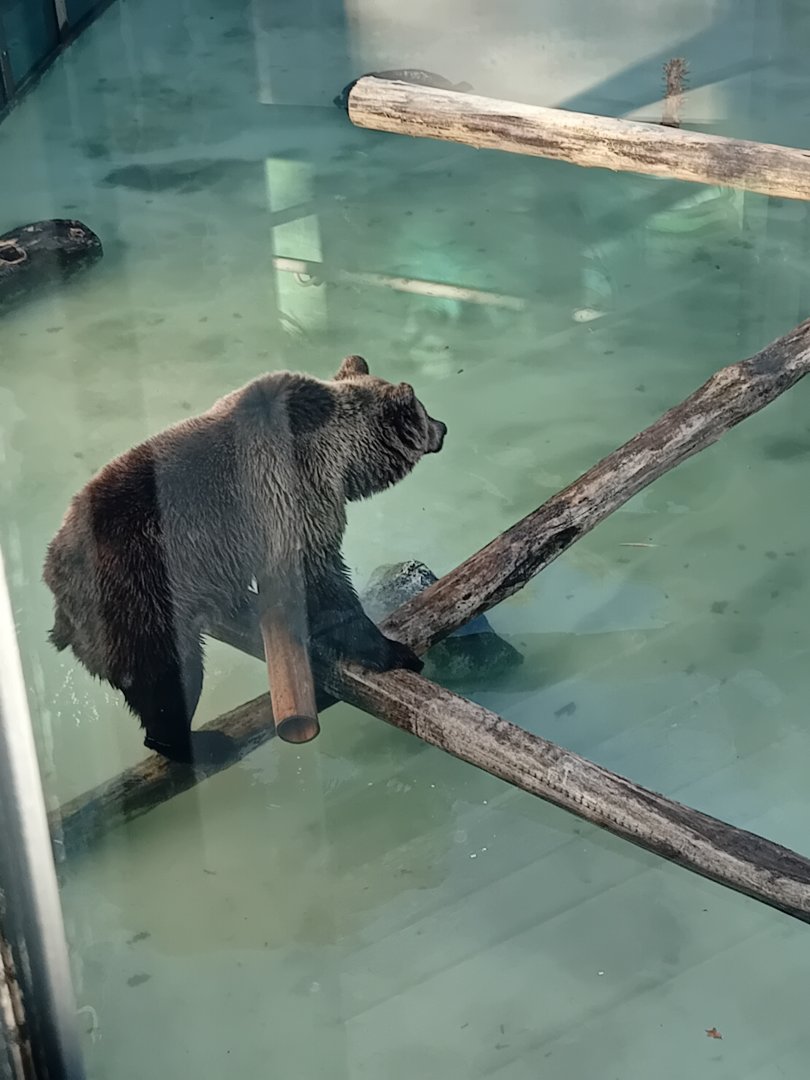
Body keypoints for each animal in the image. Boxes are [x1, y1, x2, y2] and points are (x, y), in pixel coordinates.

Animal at [43, 355, 447, 766]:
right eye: (423, 412)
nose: (443, 428)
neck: (337, 455)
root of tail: (57, 591)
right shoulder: (296, 499)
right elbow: (324, 584)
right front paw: (392, 650)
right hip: (137, 598)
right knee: (169, 678)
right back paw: (198, 743)